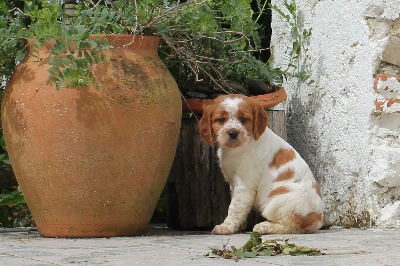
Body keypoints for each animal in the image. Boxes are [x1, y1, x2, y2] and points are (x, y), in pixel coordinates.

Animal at [198, 94, 324, 235]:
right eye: (221, 120)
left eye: (244, 119)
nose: (233, 133)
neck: (239, 148)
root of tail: (317, 219)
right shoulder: (234, 184)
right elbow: (239, 206)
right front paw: (239, 226)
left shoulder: (244, 185)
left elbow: (235, 207)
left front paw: (226, 227)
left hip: (278, 201)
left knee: (291, 226)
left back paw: (264, 226)